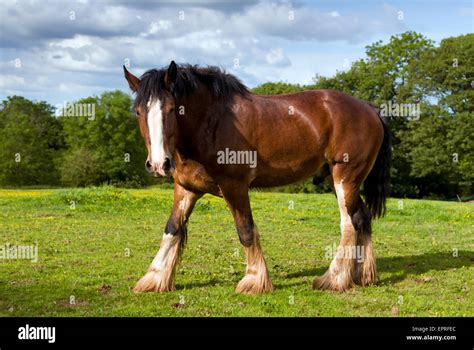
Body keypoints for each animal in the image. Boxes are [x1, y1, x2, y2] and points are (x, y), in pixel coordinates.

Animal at [124, 61, 390, 294]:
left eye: (171, 109)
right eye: (138, 112)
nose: (159, 164)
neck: (211, 122)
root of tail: (369, 108)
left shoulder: (235, 186)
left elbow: (245, 230)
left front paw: (254, 281)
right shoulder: (186, 188)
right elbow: (172, 229)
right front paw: (154, 278)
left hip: (345, 178)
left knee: (349, 223)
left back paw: (334, 279)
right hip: (342, 182)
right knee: (362, 218)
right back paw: (363, 275)